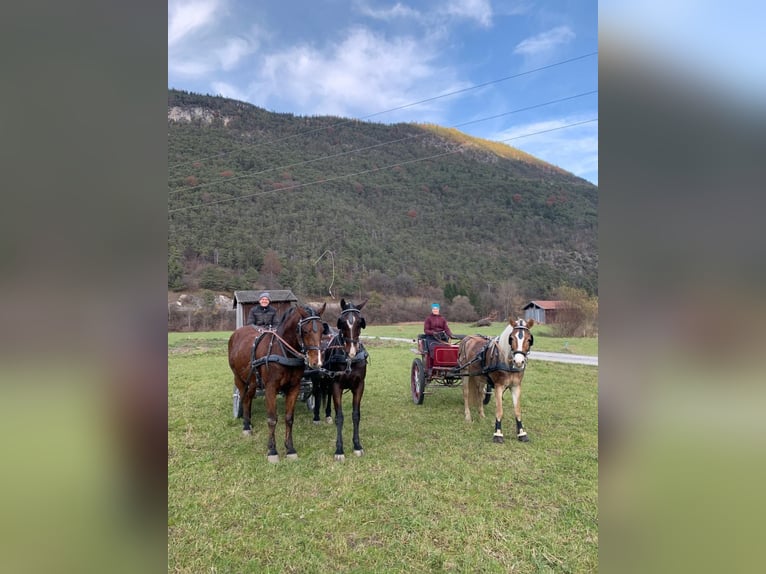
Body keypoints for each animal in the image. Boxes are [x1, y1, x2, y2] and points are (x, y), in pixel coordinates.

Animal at [226, 306, 326, 464]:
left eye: (323, 330)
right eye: (305, 331)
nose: (317, 362)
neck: (283, 352)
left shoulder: (294, 388)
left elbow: (289, 418)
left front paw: (290, 449)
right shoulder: (270, 389)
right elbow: (272, 419)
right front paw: (272, 450)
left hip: (253, 382)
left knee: (249, 398)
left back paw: (249, 422)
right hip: (240, 380)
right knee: (243, 398)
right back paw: (246, 426)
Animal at [308, 300, 368, 462]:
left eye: (360, 322)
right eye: (342, 322)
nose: (352, 351)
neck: (349, 360)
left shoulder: (359, 386)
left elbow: (356, 415)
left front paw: (357, 446)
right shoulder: (337, 385)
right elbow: (340, 417)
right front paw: (339, 450)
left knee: (326, 394)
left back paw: (327, 415)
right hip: (317, 377)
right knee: (317, 392)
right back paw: (316, 417)